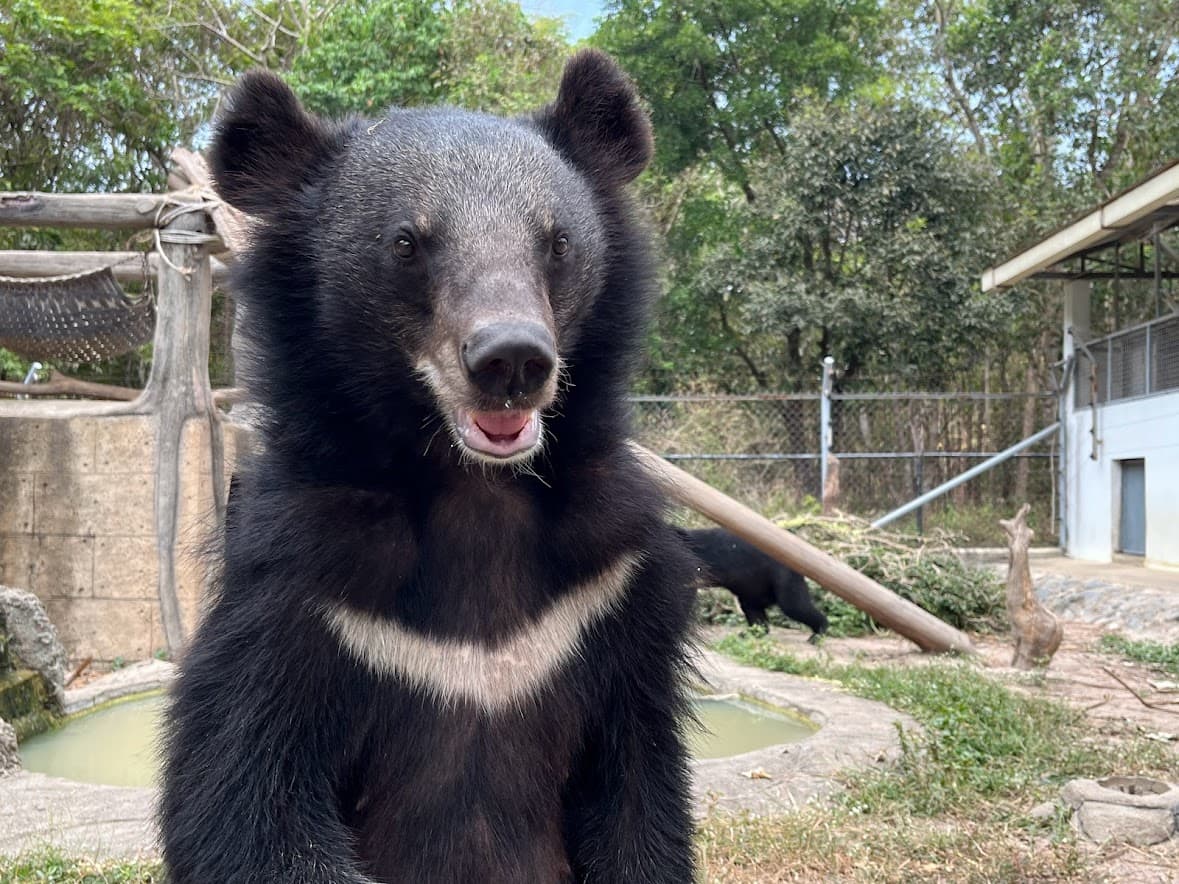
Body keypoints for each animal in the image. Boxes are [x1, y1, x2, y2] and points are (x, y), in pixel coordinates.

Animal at [160, 51, 699, 884]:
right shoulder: (296, 592)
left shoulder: (615, 595)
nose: (511, 360)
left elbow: (639, 795)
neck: (472, 486)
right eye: (408, 243)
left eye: (556, 242)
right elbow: (244, 806)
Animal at [678, 527, 828, 641]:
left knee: (795, 605)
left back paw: (818, 633)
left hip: (782, 577)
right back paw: (751, 632)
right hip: (753, 588)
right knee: (753, 609)